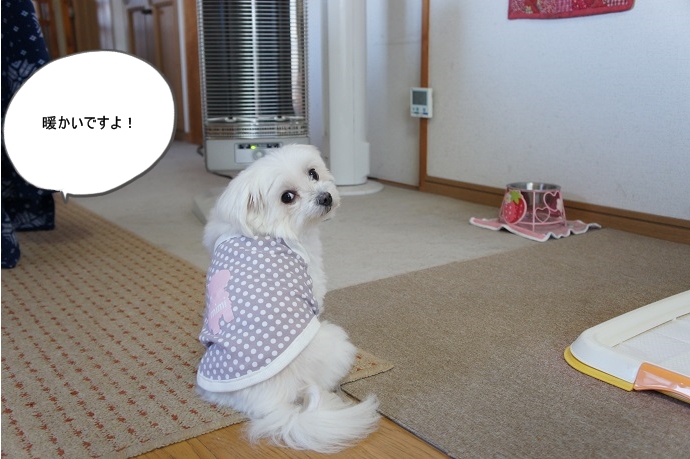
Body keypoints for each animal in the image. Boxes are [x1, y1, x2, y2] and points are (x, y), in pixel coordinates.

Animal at [197, 144, 380, 453]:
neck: (270, 228)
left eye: (313, 173)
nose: (325, 196)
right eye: (287, 197)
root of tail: (273, 402)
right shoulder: (313, 278)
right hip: (337, 345)